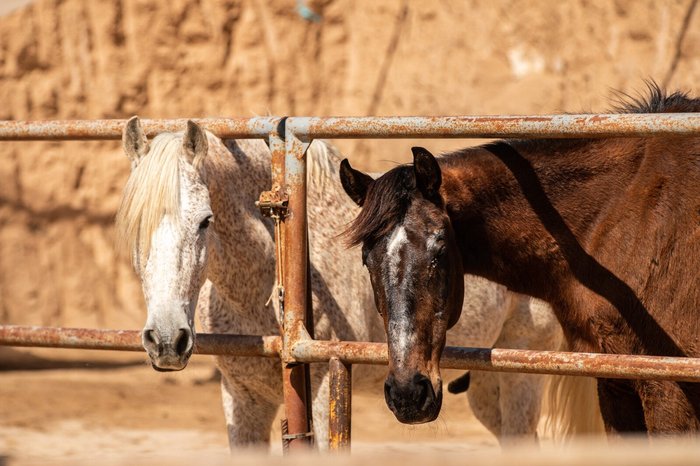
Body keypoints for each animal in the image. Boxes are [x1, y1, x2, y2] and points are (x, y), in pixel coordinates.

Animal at [115, 117, 600, 448]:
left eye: (204, 221)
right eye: (132, 228)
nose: (165, 340)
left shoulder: (322, 393)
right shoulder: (243, 399)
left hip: (522, 376)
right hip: (485, 386)